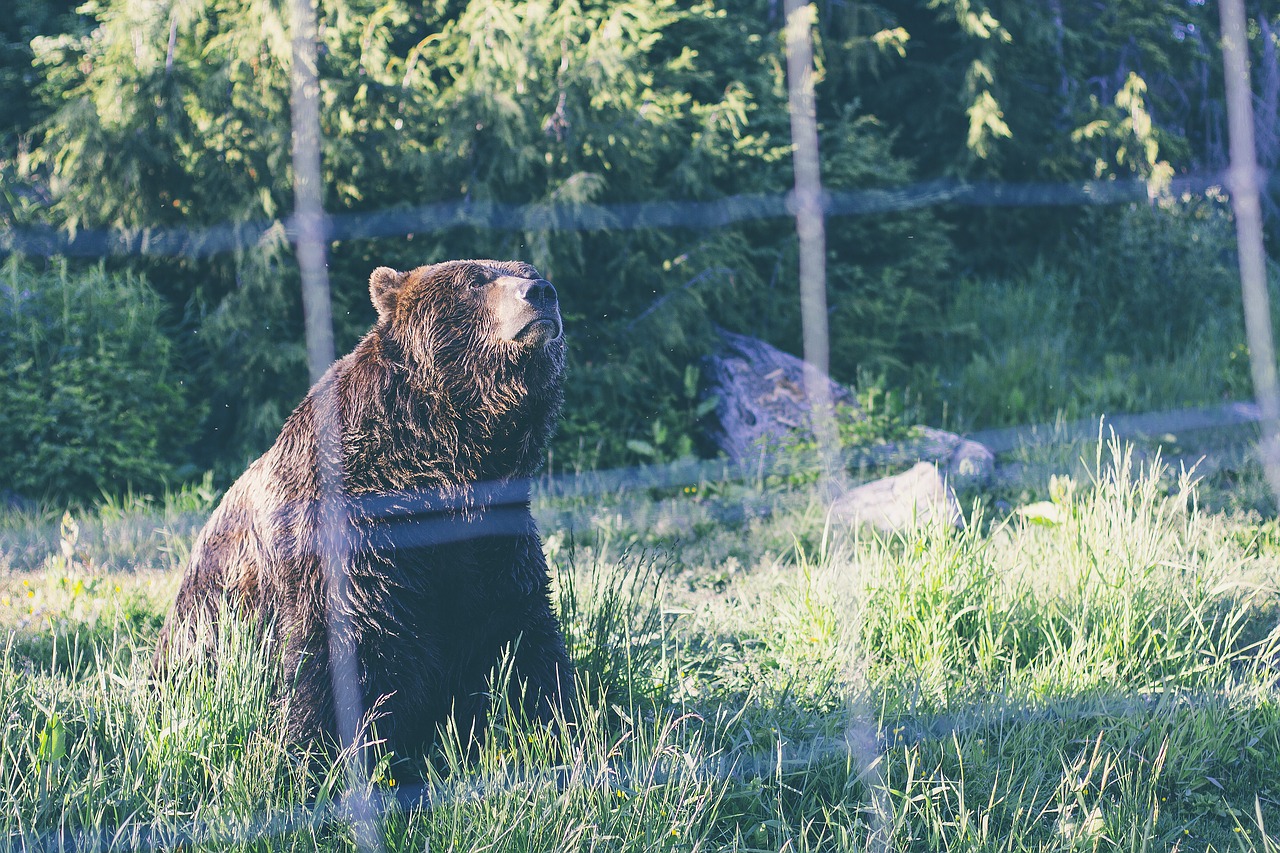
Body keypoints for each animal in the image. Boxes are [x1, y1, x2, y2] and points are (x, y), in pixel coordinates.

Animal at [152, 258, 573, 758]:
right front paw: (317, 752)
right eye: (474, 280)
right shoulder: (351, 535)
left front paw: (559, 725)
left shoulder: (493, 537)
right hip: (202, 628)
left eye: (527, 269)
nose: (542, 292)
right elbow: (340, 652)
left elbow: (521, 637)